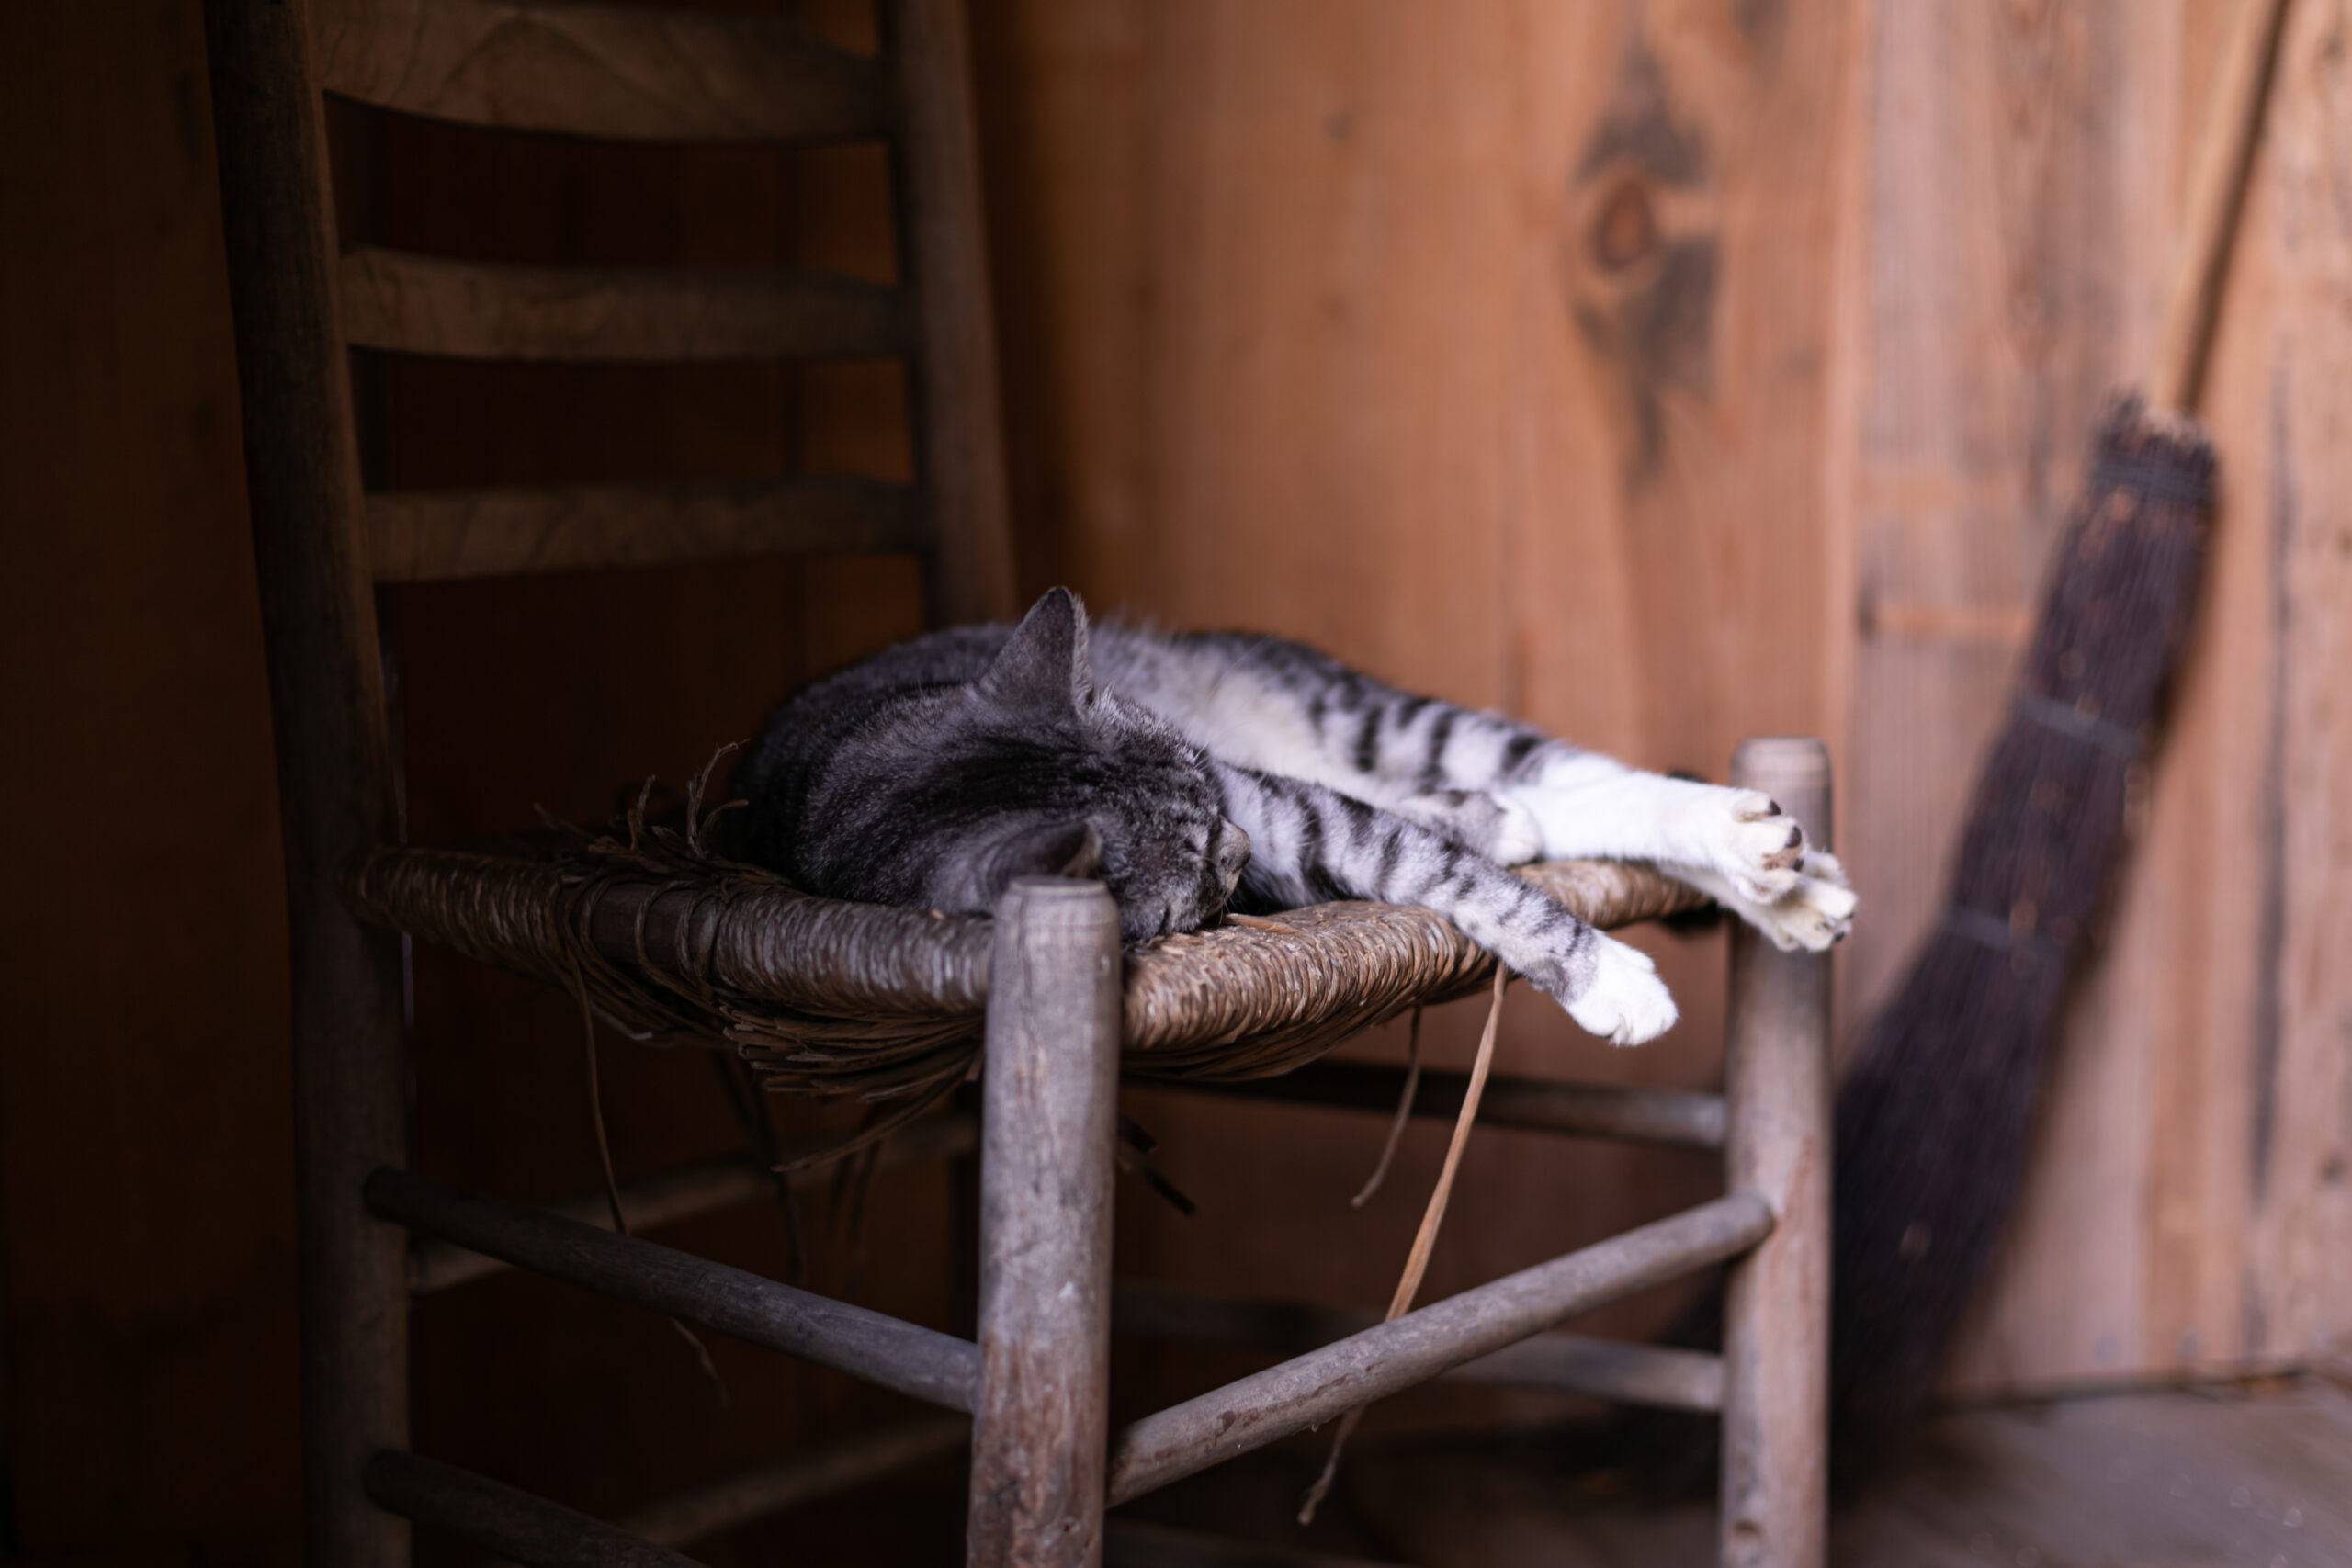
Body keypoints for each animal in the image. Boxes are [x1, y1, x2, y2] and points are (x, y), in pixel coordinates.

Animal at [733, 587, 1853, 1043]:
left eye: (1195, 772)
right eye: (1196, 869)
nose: (1232, 836)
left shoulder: (1278, 801)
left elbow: (1438, 866)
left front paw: (1608, 975)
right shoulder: (1285, 840)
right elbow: (1441, 859)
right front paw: (1604, 967)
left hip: (1369, 717)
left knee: (1575, 773)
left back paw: (1763, 855)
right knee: (1528, 798)